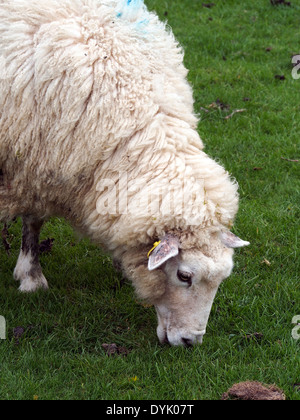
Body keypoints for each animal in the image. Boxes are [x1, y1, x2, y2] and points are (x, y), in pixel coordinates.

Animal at [0, 0, 248, 346]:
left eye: (223, 277)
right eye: (184, 275)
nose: (190, 342)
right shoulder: (31, 162)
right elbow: (33, 220)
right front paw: (31, 276)